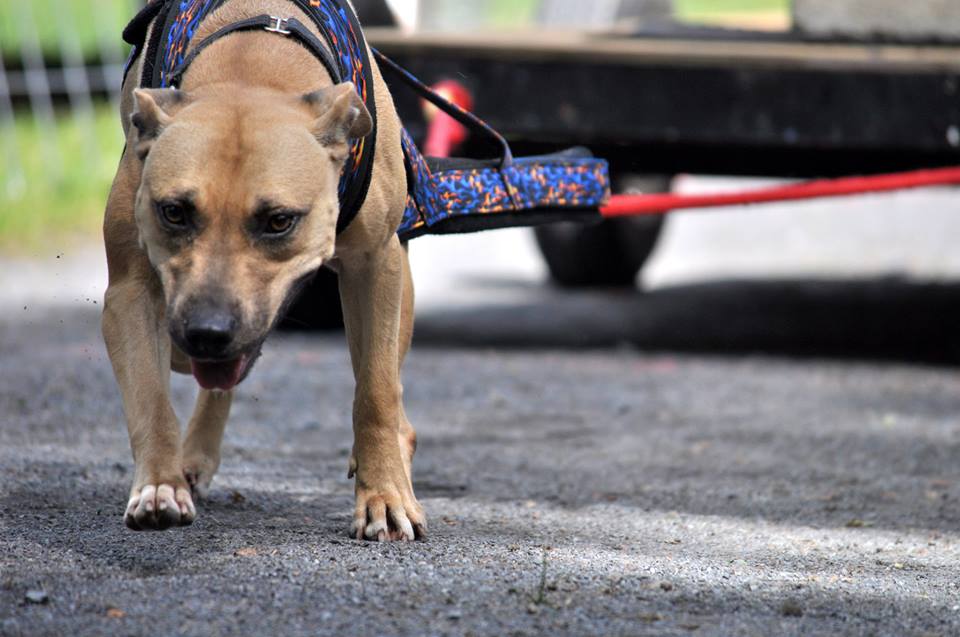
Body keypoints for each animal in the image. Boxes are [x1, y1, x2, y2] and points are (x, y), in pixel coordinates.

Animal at [101, 0, 424, 540]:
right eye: (174, 212)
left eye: (278, 221)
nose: (207, 331)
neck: (251, 69)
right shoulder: (129, 290)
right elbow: (150, 396)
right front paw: (160, 485)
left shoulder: (375, 265)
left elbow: (376, 391)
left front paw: (384, 495)